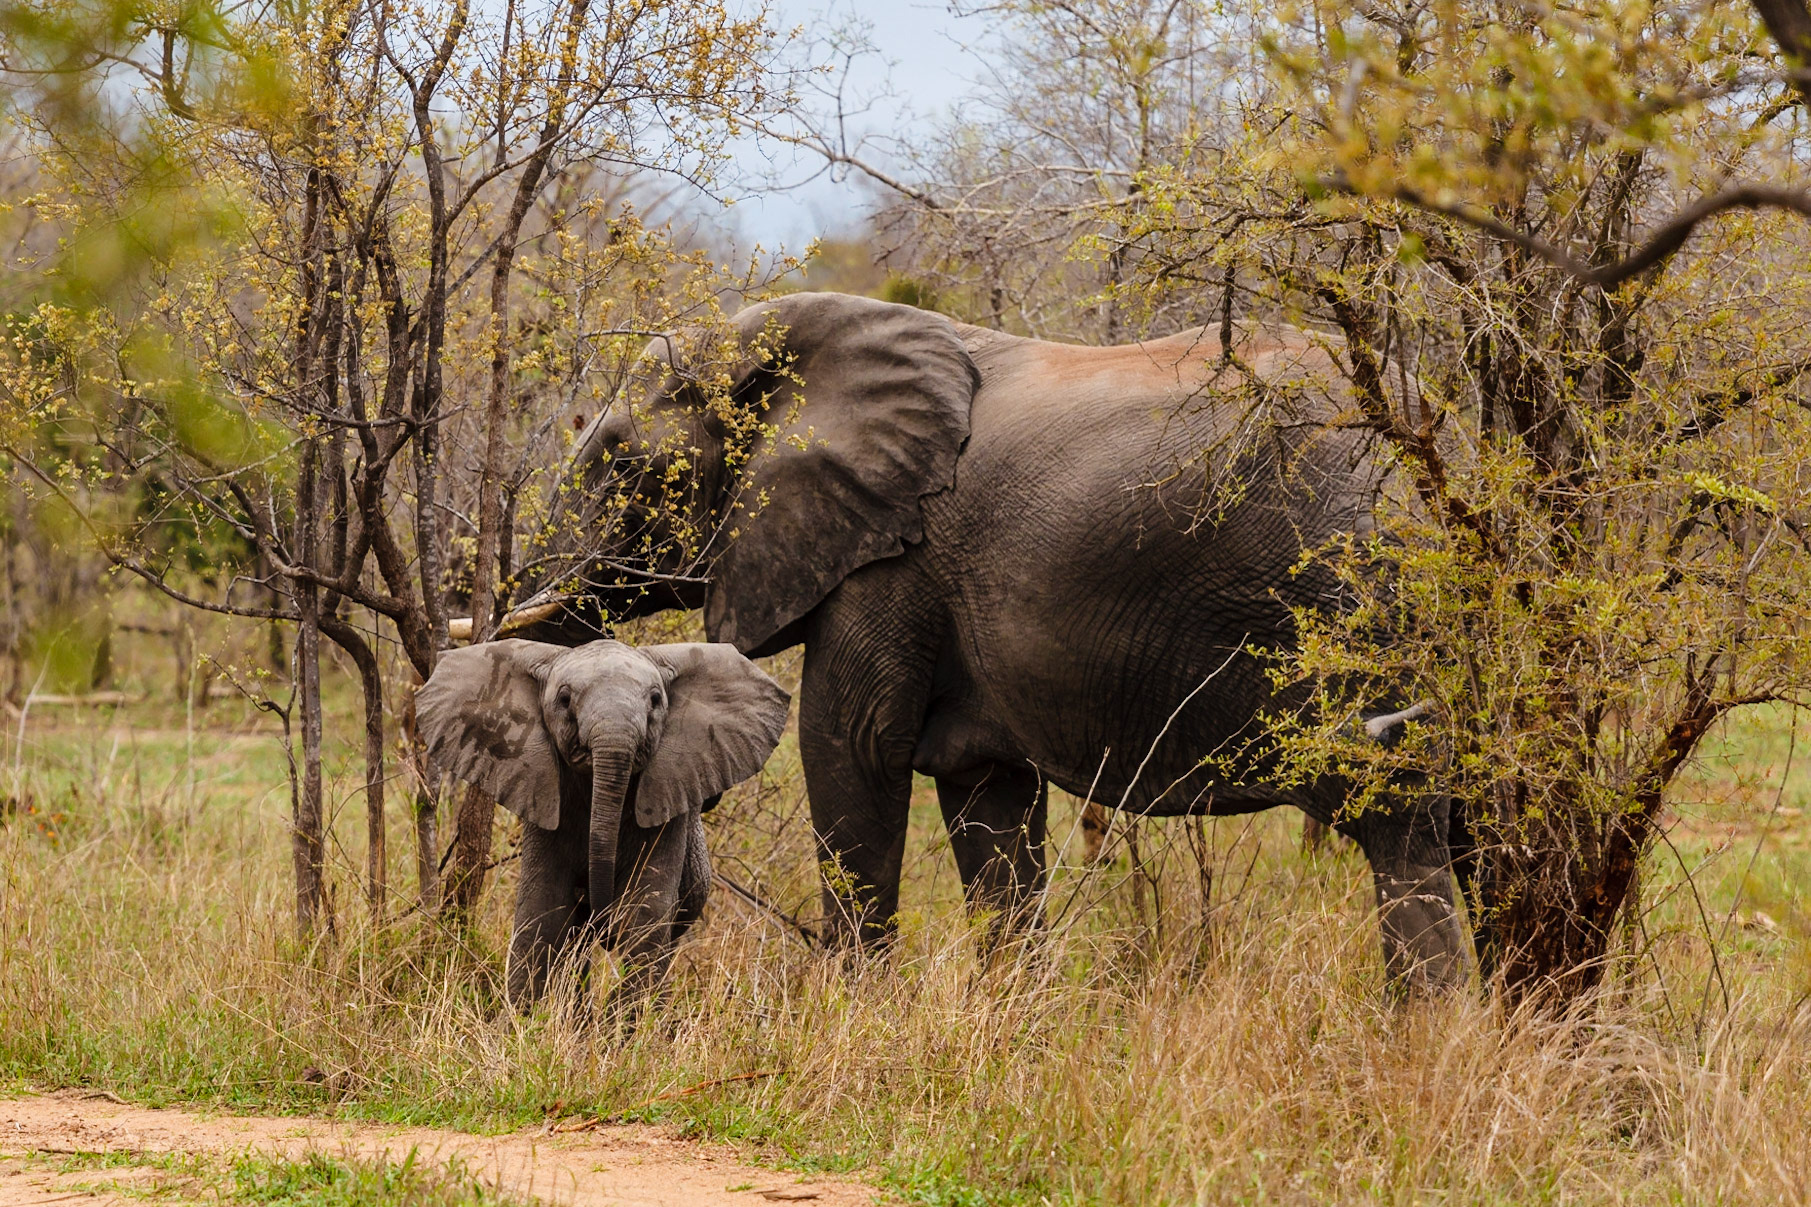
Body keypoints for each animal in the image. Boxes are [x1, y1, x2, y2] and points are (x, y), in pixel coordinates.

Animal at [416, 638, 790, 1020]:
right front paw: (521, 1028)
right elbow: (543, 908)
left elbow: (644, 913)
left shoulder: (669, 807)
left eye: (656, 700)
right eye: (565, 699)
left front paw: (620, 1033)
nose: (600, 912)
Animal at [495, 291, 1468, 990]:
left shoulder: (891, 562)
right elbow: (987, 801)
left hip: (1356, 580)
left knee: (1400, 811)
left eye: (620, 462)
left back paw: (1431, 1038)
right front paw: (1013, 1029)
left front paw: (852, 1020)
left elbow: (850, 751)